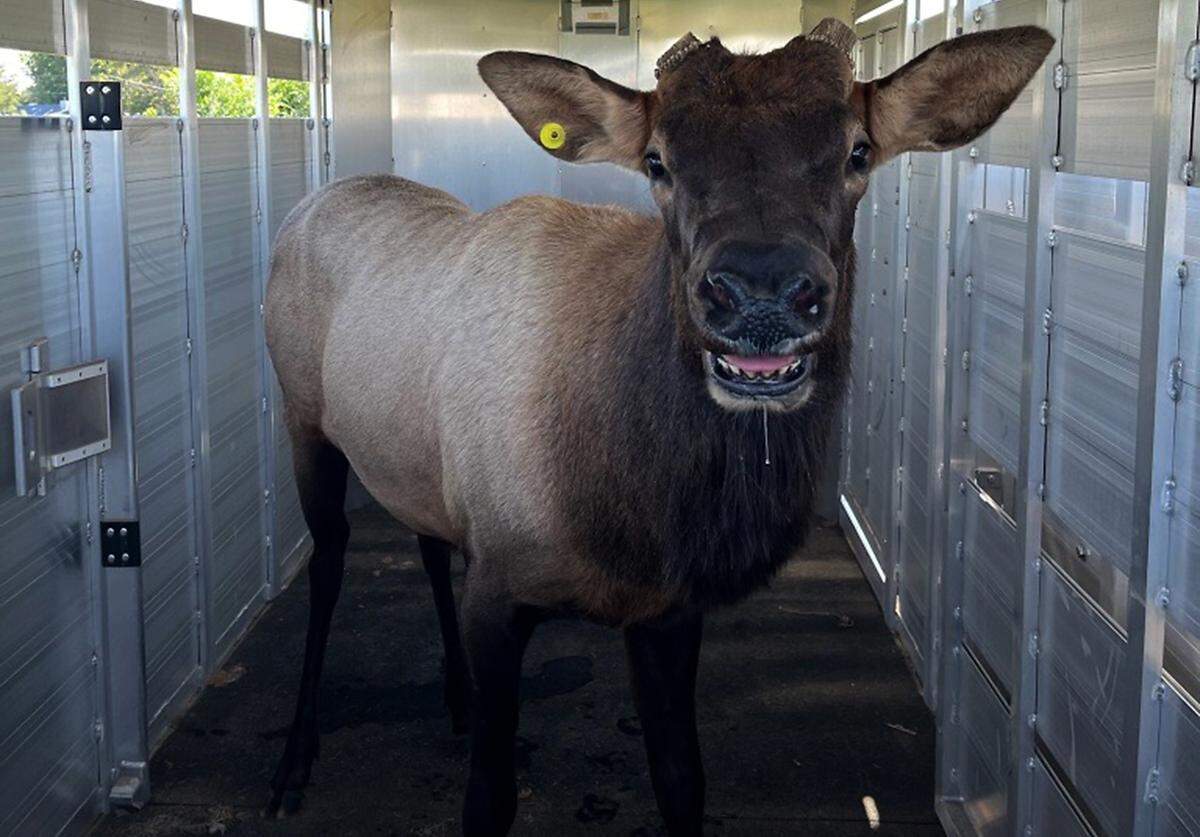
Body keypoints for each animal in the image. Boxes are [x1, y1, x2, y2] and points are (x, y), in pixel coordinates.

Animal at [262, 18, 1053, 835]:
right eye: (656, 159)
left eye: (858, 151)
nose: (759, 295)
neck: (631, 511)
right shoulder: (500, 590)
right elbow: (490, 799)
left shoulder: (667, 610)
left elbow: (682, 780)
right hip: (302, 417)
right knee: (328, 561)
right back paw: (293, 760)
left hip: (413, 455)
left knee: (425, 539)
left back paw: (452, 695)